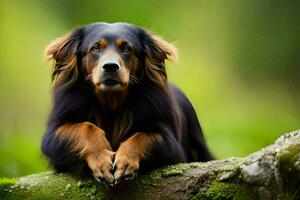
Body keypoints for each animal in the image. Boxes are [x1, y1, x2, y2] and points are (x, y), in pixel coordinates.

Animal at [41, 22, 213, 188]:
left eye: (126, 49)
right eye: (95, 48)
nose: (110, 66)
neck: (112, 101)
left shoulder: (171, 145)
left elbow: (141, 136)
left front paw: (125, 162)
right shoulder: (52, 138)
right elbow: (86, 127)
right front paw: (101, 160)